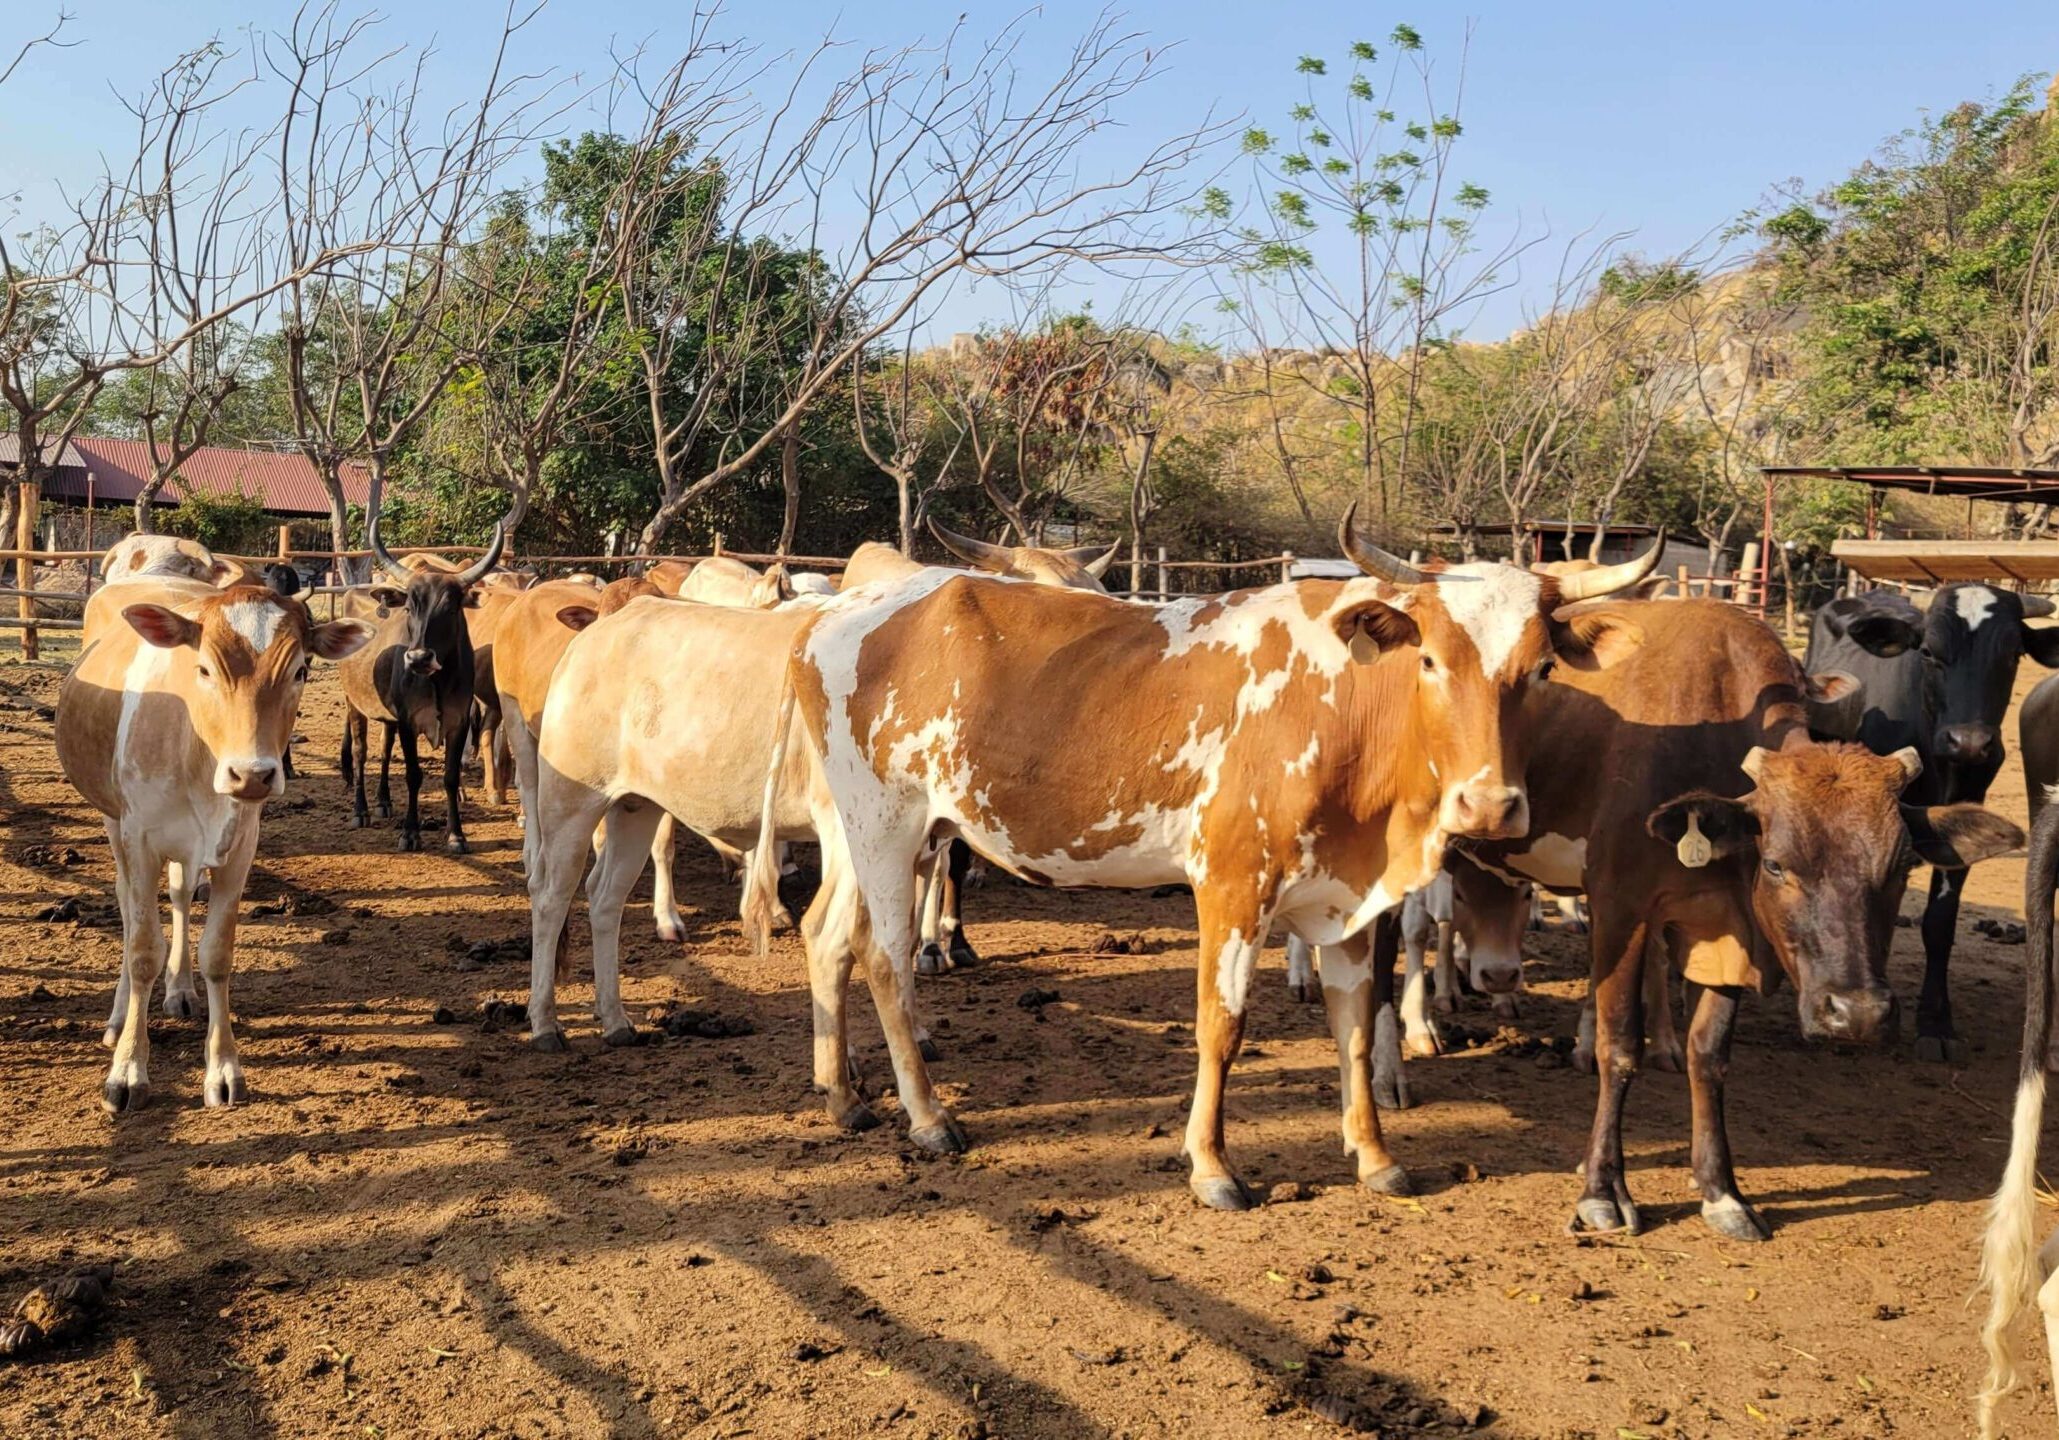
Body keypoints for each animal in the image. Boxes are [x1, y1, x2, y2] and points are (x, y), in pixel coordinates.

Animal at [56, 579, 371, 1112]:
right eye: (203, 668)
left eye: (301, 670)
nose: (252, 773)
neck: (197, 753)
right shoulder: (140, 839)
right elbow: (143, 948)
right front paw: (127, 1070)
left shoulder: (240, 846)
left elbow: (217, 954)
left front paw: (223, 1069)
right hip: (113, 820)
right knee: (125, 905)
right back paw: (118, 1017)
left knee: (181, 895)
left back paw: (180, 989)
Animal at [335, 517, 506, 852]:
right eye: (409, 607)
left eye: (451, 607)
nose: (418, 657)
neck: (437, 681)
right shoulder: (408, 721)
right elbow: (413, 774)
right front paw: (410, 832)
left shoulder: (458, 721)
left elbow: (451, 776)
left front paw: (456, 835)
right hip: (353, 702)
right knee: (361, 751)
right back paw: (361, 810)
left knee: (384, 749)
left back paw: (384, 801)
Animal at [750, 515, 1663, 1206]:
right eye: (1431, 659)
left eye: (1537, 669)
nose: (1489, 805)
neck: (1342, 706)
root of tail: (834, 614)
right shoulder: (1232, 882)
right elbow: (1221, 1027)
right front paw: (1213, 1165)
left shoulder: (1345, 895)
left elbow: (1353, 1025)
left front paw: (1373, 1155)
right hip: (887, 826)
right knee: (885, 957)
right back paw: (928, 1117)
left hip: (865, 830)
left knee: (827, 935)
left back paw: (843, 1096)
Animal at [1457, 597, 2020, 1239]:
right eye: (1776, 864)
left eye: (1901, 866)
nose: (1856, 1015)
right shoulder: (1620, 907)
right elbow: (1617, 1047)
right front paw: (1601, 1188)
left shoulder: (1725, 936)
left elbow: (1710, 1055)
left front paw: (1721, 1191)